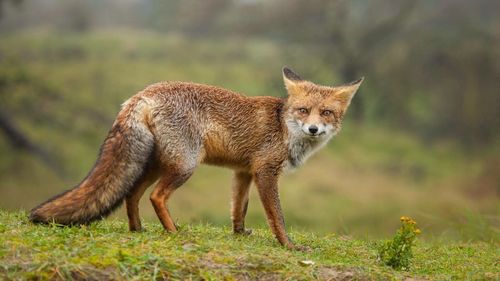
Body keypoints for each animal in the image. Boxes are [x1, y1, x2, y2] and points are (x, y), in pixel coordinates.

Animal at [28, 68, 364, 249]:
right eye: (304, 111)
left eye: (326, 113)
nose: (313, 129)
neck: (283, 127)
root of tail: (142, 94)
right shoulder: (265, 172)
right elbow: (277, 217)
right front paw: (289, 245)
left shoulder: (243, 172)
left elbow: (238, 209)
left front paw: (239, 234)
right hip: (185, 166)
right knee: (156, 197)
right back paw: (173, 232)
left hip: (156, 164)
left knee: (132, 195)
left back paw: (138, 230)